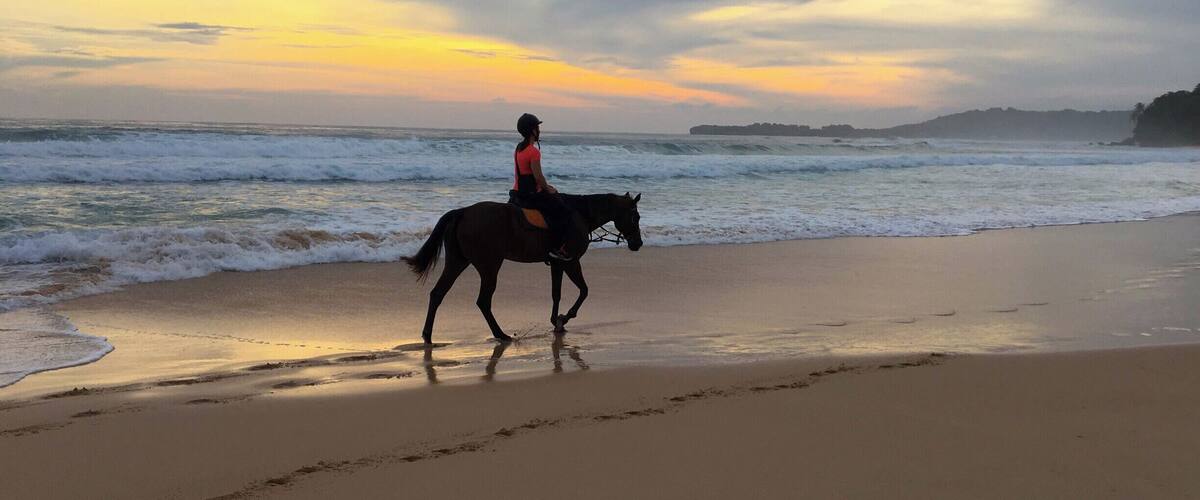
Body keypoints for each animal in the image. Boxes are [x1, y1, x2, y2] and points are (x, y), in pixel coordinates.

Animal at [402, 192, 643, 343]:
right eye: (636, 216)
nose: (638, 243)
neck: (580, 214)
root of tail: (463, 212)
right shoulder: (571, 261)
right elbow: (584, 291)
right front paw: (565, 317)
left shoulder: (557, 263)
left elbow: (556, 293)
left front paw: (556, 321)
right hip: (489, 266)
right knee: (483, 301)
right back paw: (501, 334)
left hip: (458, 261)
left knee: (437, 294)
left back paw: (427, 336)